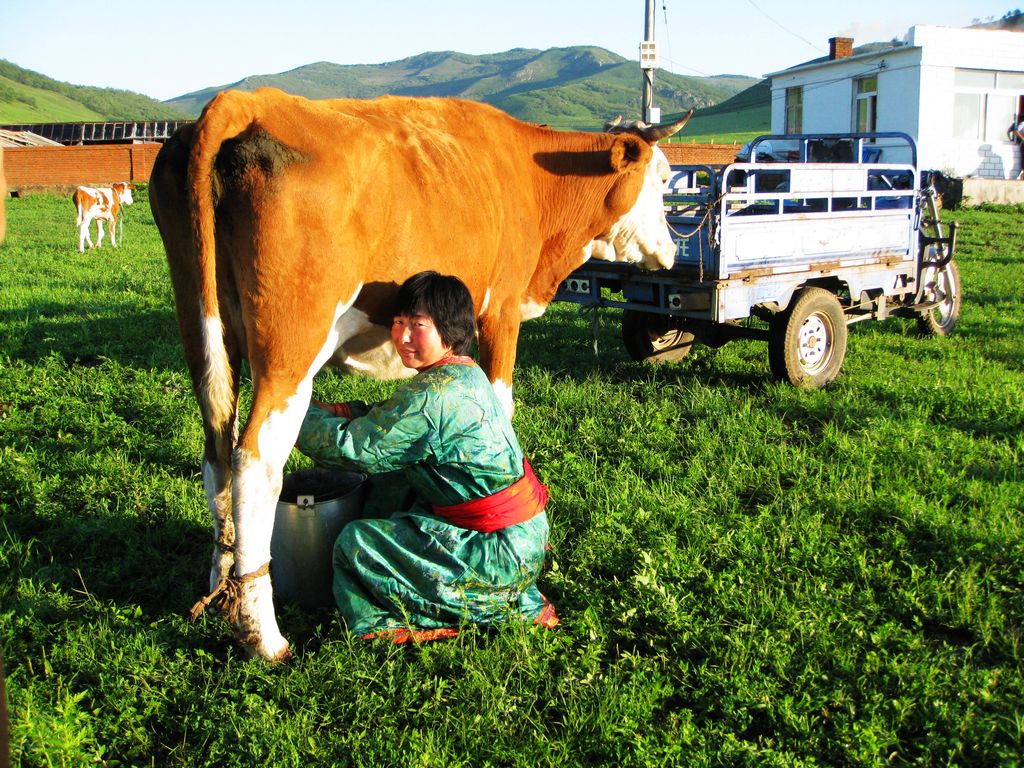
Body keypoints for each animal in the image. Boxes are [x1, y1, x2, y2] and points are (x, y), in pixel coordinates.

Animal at [148, 85, 688, 663]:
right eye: (662, 177)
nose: (672, 251)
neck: (533, 175)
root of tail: (246, 101)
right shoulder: (500, 312)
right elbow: (501, 405)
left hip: (205, 330)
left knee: (216, 453)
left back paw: (221, 585)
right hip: (291, 348)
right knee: (255, 458)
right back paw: (262, 634)